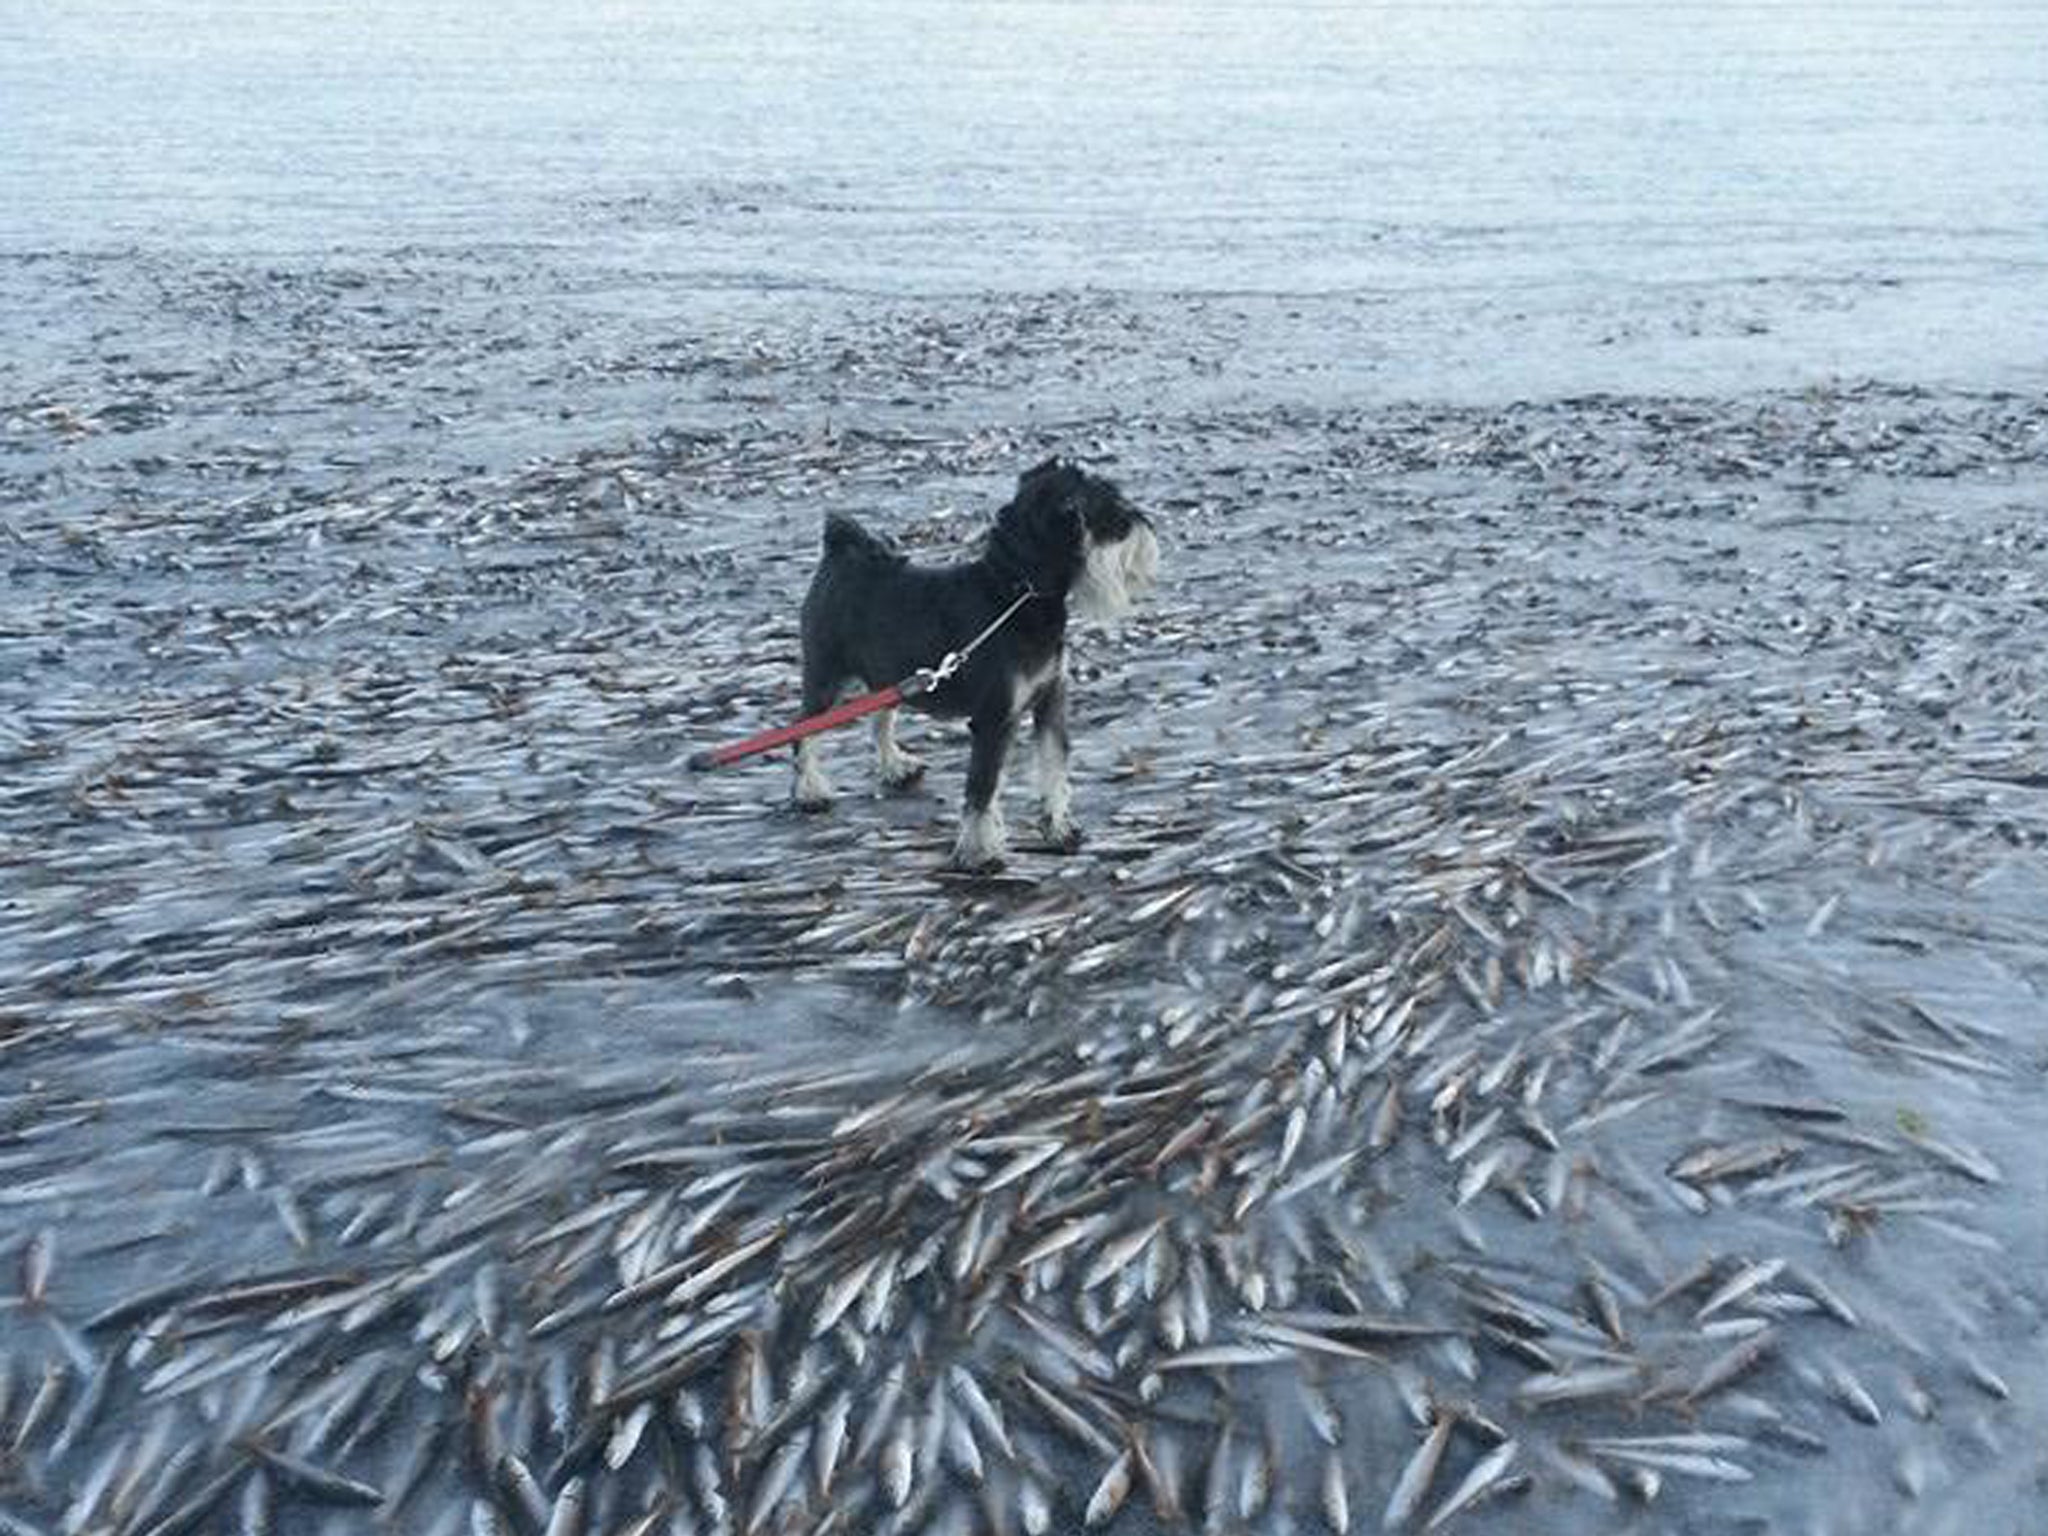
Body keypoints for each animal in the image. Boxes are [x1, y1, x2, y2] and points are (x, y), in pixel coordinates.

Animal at [790, 456, 1163, 872]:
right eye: (1108, 513)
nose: (1143, 525)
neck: (1015, 593)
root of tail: (841, 553)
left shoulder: (1050, 702)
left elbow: (1053, 767)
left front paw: (1059, 827)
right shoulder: (993, 719)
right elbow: (983, 789)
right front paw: (978, 851)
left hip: (888, 677)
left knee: (881, 720)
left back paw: (896, 767)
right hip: (826, 677)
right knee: (803, 730)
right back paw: (809, 792)